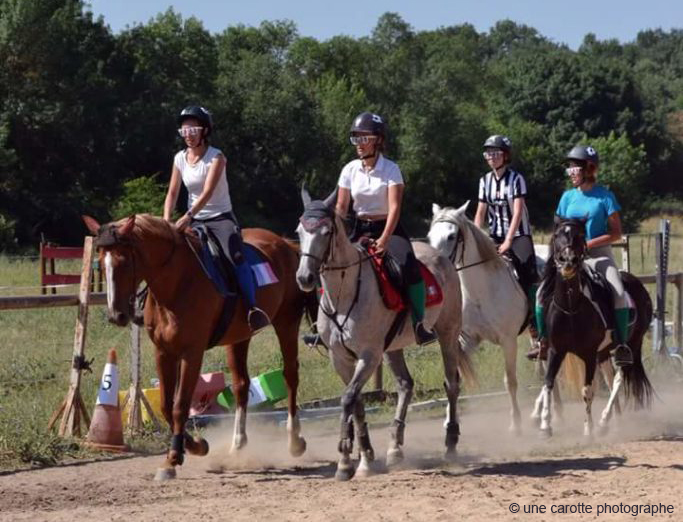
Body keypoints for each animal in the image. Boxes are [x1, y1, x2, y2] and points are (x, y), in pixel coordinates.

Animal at [84, 213, 312, 478]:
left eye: (124, 262)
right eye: (101, 262)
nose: (116, 315)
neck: (176, 284)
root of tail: (285, 244)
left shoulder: (191, 353)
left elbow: (180, 405)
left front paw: (175, 456)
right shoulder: (163, 352)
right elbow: (166, 405)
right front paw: (194, 445)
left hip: (287, 322)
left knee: (290, 375)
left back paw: (295, 441)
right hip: (239, 337)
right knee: (241, 385)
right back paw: (237, 446)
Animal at [532, 217, 656, 436]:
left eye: (580, 235)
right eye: (557, 235)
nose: (567, 260)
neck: (571, 306)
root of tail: (637, 283)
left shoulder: (588, 354)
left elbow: (587, 390)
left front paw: (588, 429)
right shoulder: (556, 350)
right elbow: (548, 382)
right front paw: (545, 424)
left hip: (632, 344)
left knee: (619, 378)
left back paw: (604, 420)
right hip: (604, 351)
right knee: (610, 377)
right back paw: (613, 420)